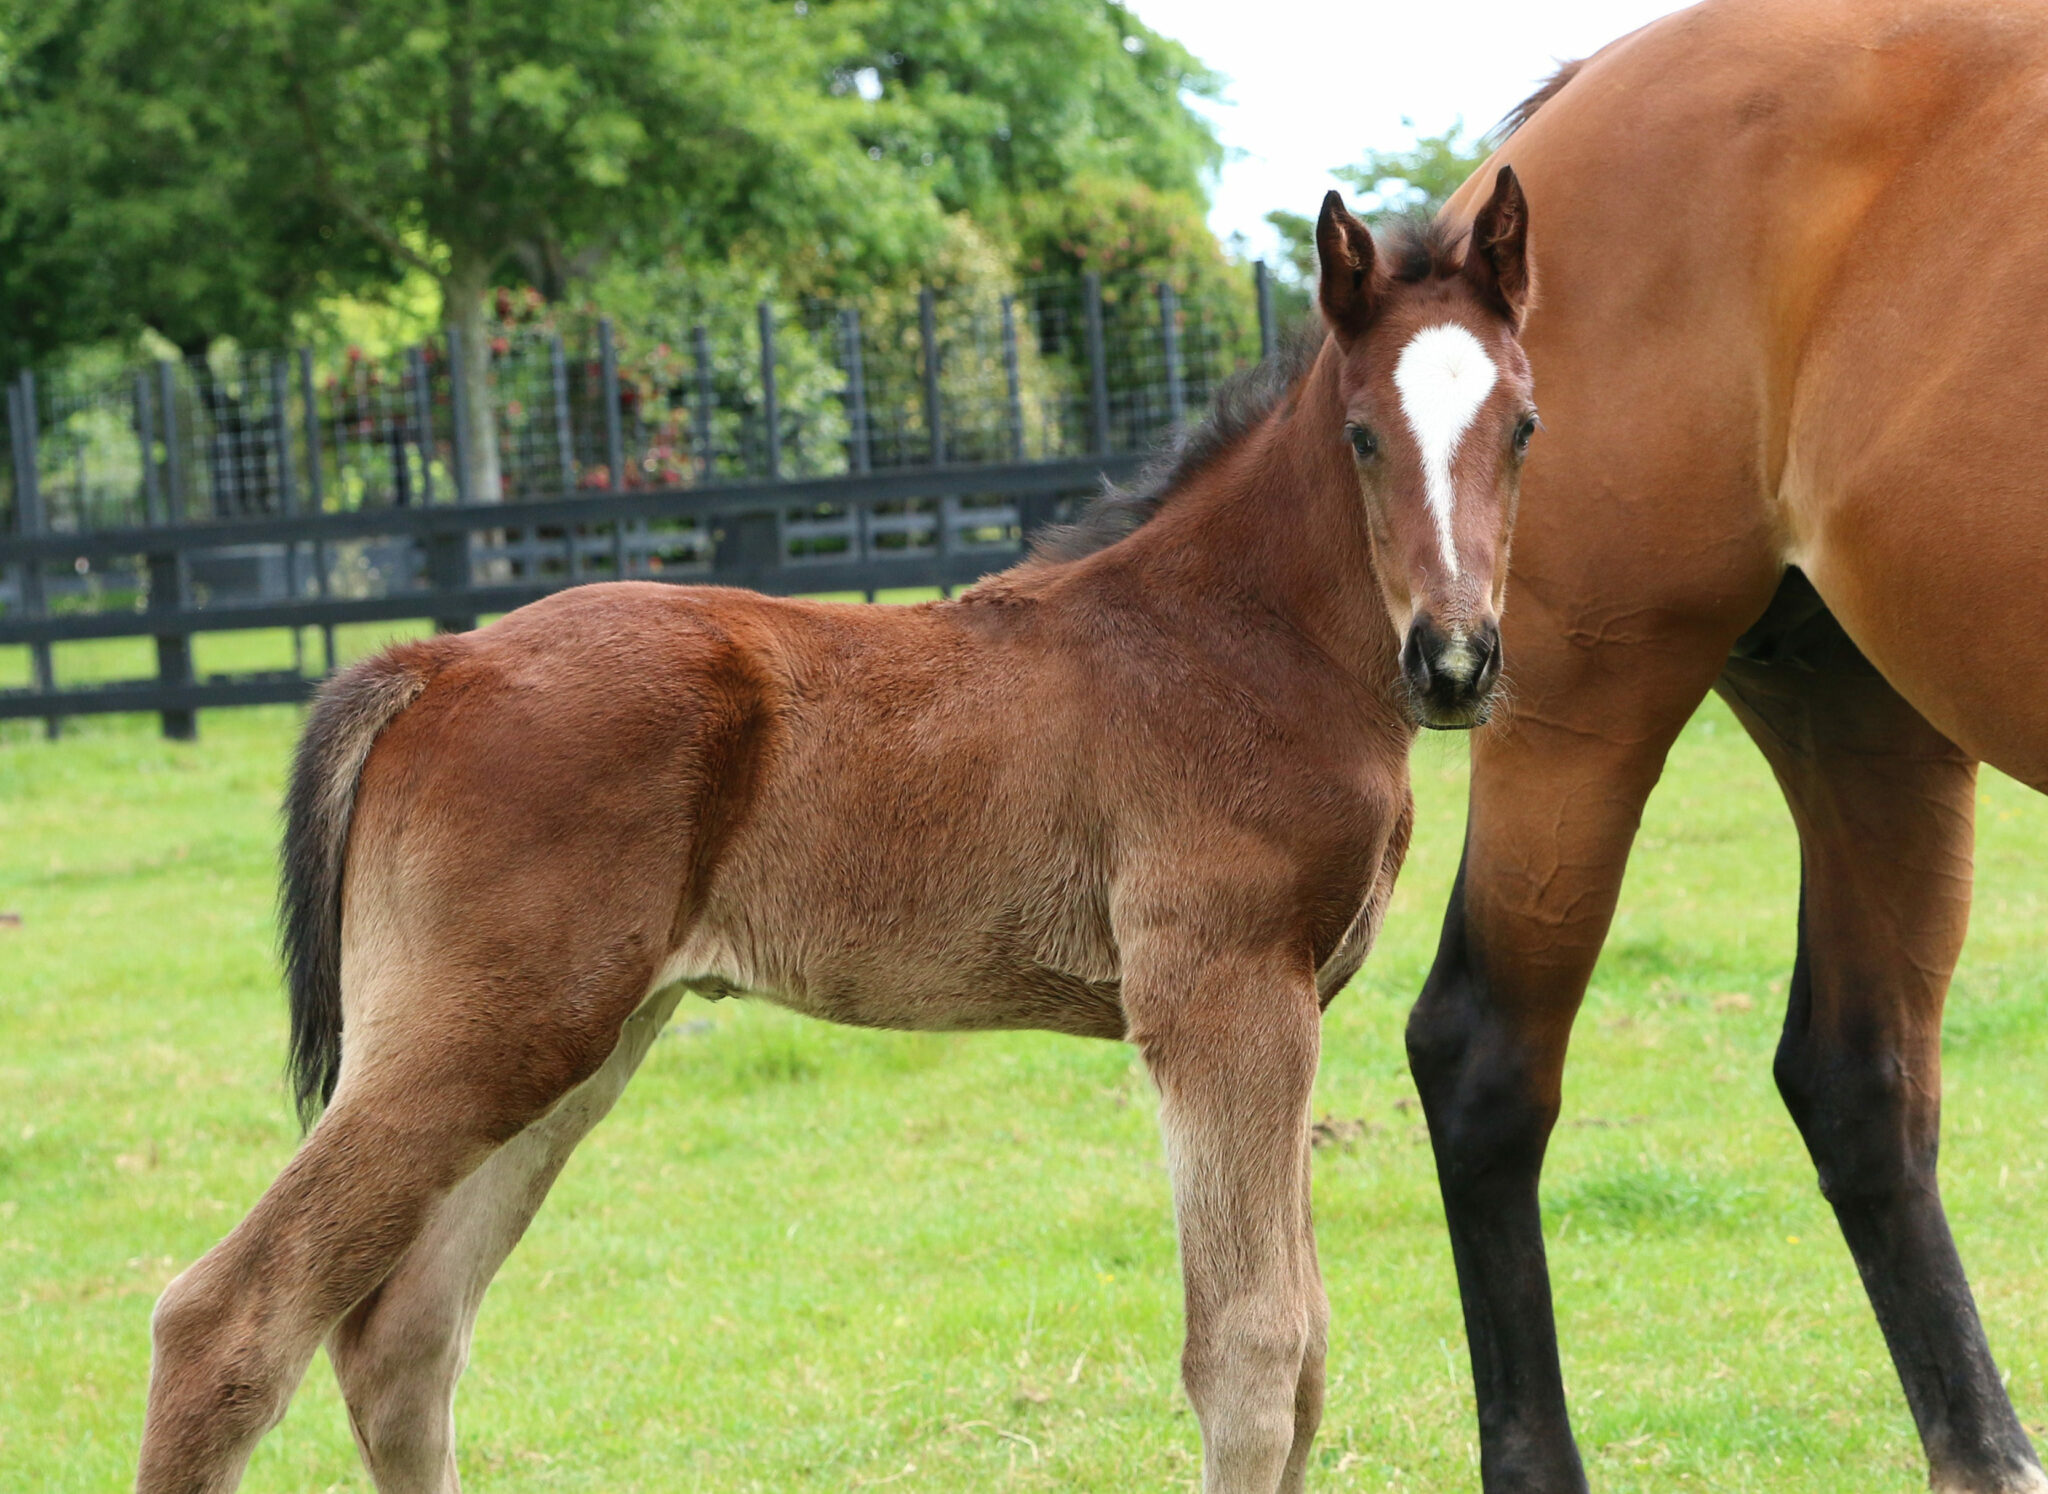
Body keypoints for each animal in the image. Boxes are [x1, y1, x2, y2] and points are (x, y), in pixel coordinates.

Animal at [132, 180, 1540, 1491]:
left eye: (1521, 427)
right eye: (1360, 434)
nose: (1454, 662)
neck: (1231, 639)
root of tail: (431, 663)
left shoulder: (1289, 1001)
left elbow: (1304, 1355)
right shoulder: (1220, 997)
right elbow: (1251, 1351)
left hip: (573, 1043)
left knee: (403, 1340)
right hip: (477, 1035)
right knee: (228, 1320)